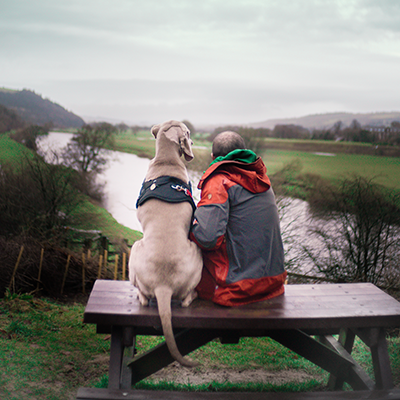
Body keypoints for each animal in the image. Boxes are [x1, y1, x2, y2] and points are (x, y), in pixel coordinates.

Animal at [129, 120, 203, 368]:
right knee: (182, 299)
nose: (193, 140)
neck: (166, 160)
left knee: (146, 296)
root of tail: (164, 286)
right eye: (188, 132)